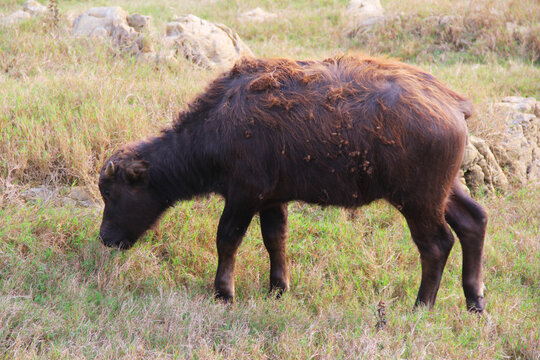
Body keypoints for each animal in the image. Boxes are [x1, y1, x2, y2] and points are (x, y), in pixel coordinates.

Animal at [99, 55, 488, 312]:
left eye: (113, 193)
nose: (105, 238)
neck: (219, 123)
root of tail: (452, 104)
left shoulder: (244, 195)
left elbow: (227, 239)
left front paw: (224, 292)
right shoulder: (273, 199)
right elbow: (275, 239)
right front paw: (278, 288)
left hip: (418, 200)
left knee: (436, 244)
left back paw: (421, 305)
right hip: (445, 191)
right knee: (474, 221)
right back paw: (475, 300)